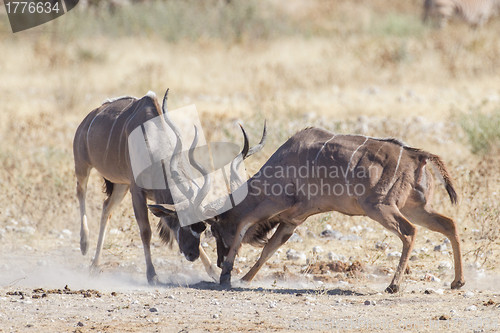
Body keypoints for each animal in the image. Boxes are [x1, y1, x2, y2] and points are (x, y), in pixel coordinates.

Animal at [73, 89, 266, 284]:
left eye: (202, 227)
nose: (192, 255)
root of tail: (90, 117)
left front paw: (212, 271)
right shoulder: (137, 191)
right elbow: (145, 231)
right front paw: (152, 275)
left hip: (121, 185)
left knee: (106, 208)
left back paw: (94, 265)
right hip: (83, 165)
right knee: (81, 192)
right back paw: (84, 244)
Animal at [149, 126, 464, 292]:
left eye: (212, 230)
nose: (216, 261)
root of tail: (418, 156)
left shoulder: (277, 205)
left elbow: (243, 229)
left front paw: (227, 277)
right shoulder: (292, 221)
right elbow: (268, 249)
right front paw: (244, 278)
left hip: (382, 208)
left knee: (409, 232)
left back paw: (393, 286)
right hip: (415, 208)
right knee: (449, 224)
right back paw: (457, 281)